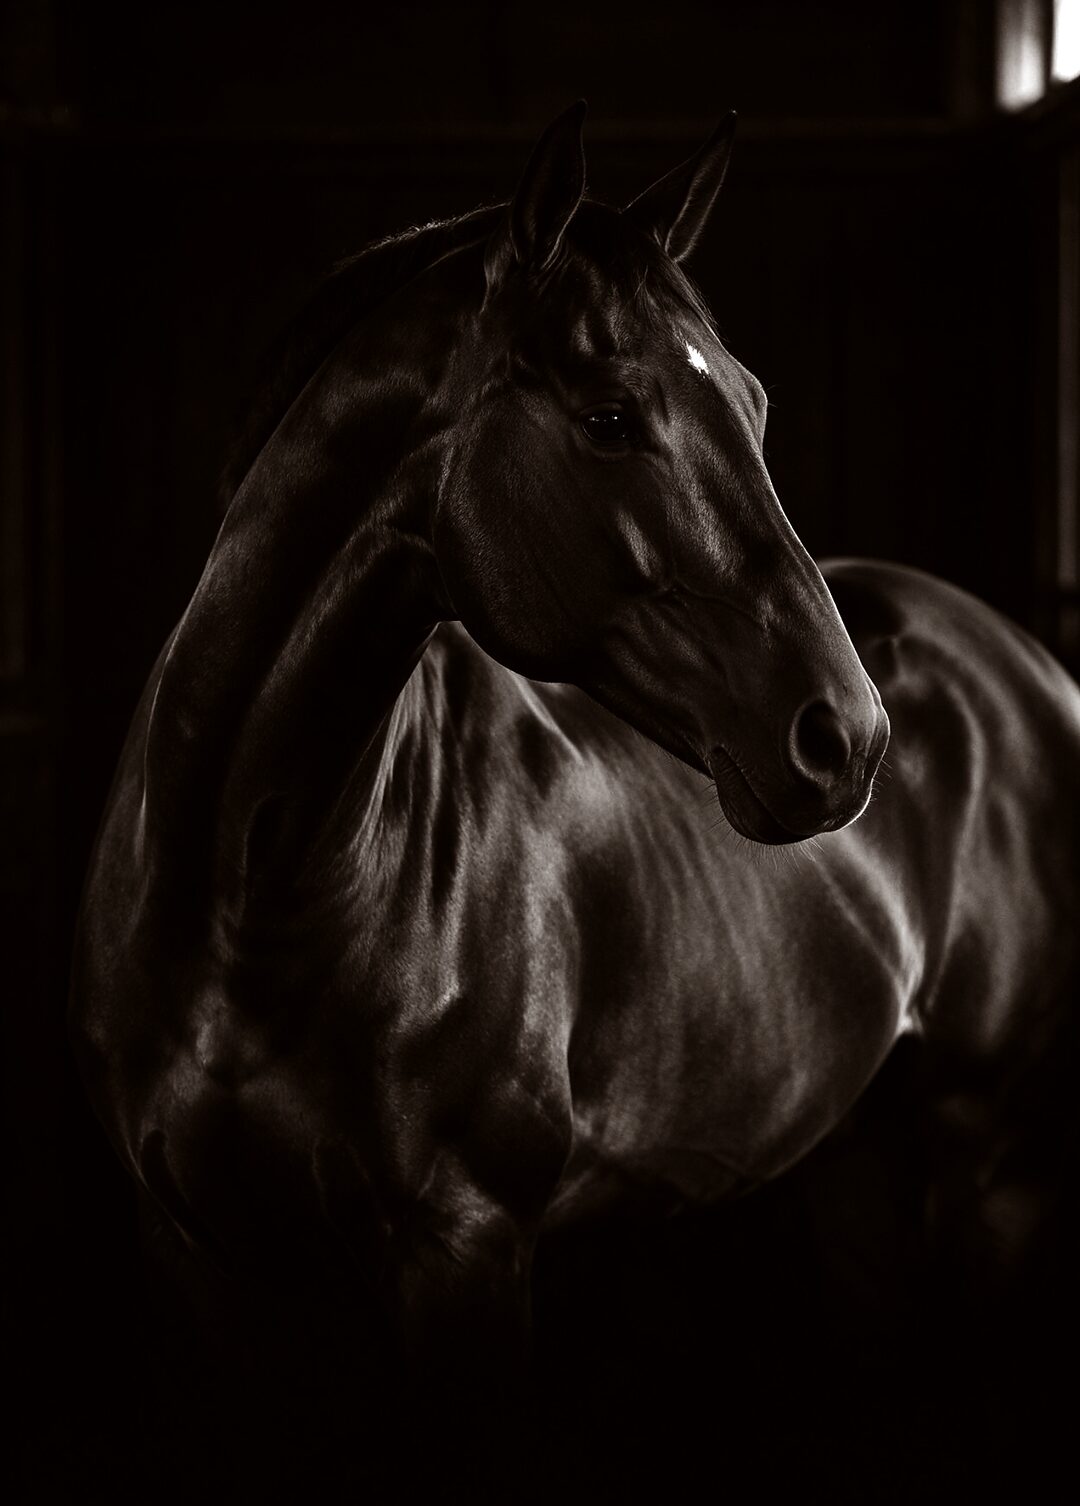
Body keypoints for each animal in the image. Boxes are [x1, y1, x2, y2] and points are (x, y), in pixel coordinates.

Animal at [70, 104, 1079, 1473]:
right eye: (608, 417)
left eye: (754, 404)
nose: (847, 738)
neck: (251, 886)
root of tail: (1026, 674)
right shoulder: (200, 1266)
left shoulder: (466, 1259)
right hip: (866, 1171)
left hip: (991, 1174)